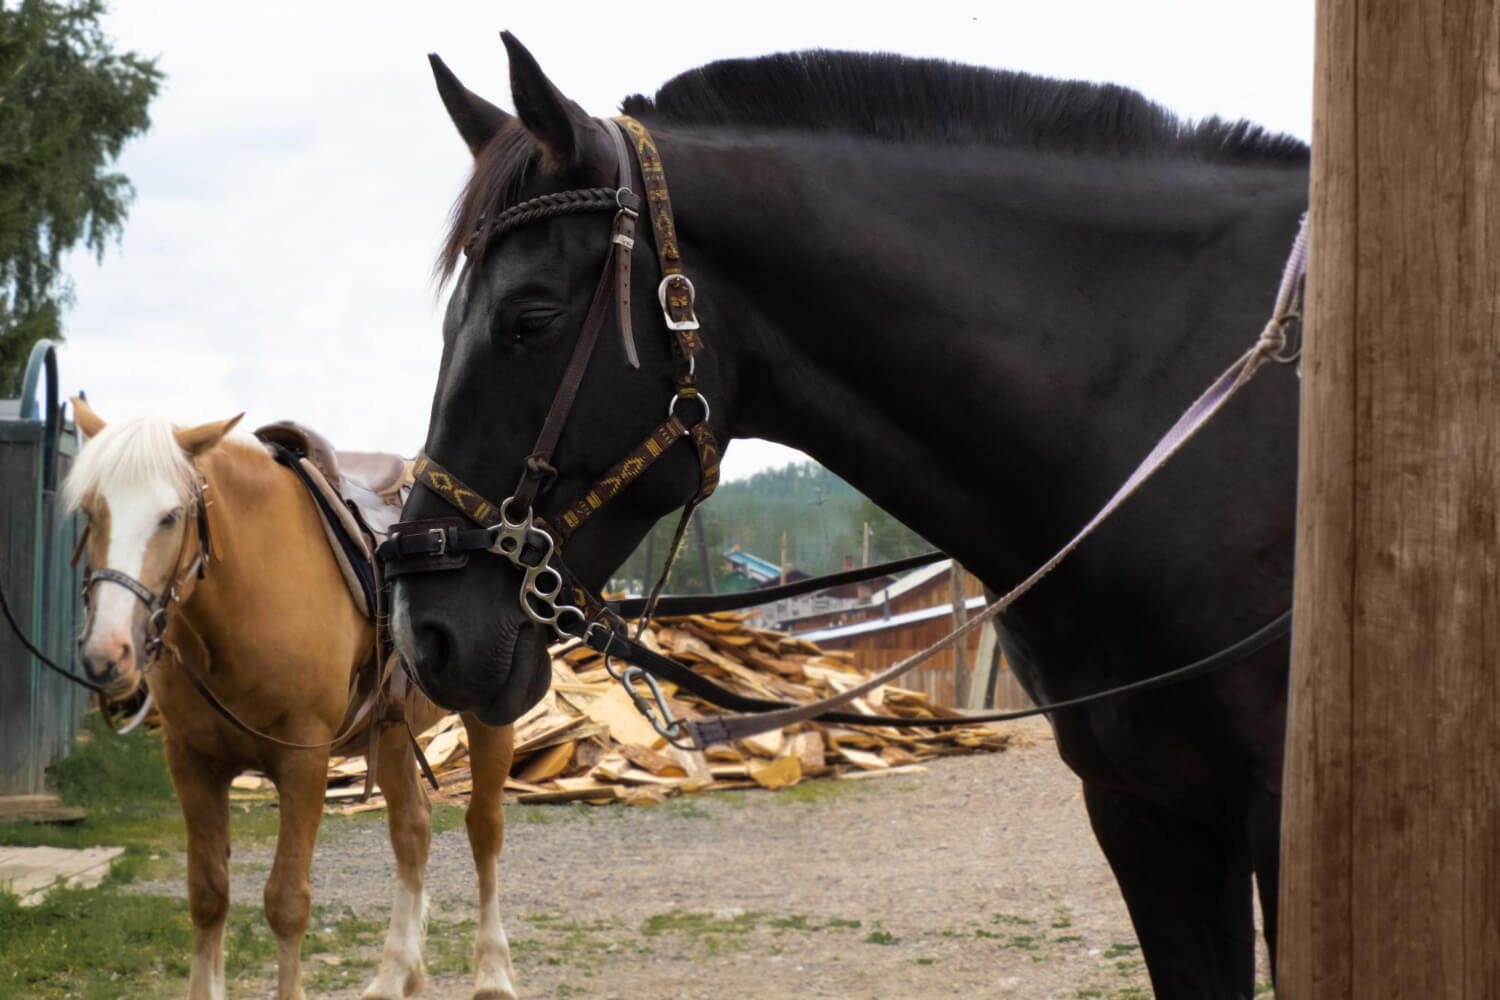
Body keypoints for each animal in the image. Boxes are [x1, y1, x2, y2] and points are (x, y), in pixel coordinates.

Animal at [62, 399, 519, 1000]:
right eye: (91, 511)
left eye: (171, 516)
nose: (107, 653)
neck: (250, 590)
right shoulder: (192, 763)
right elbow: (208, 896)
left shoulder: (303, 762)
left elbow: (286, 903)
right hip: (390, 733)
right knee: (413, 831)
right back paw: (395, 974)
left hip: (489, 717)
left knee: (484, 828)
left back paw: (493, 974)